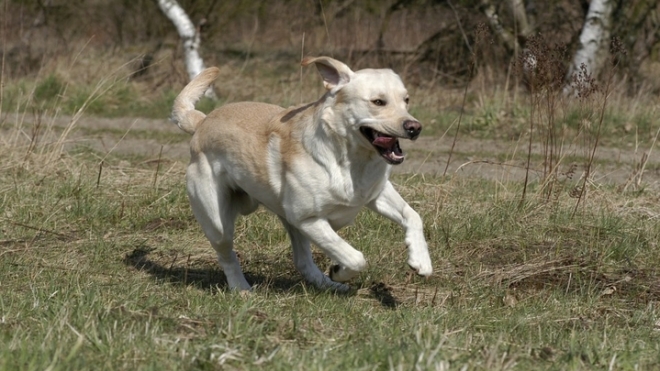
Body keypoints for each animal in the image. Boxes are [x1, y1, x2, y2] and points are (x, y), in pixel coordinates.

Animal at [171, 56, 434, 292]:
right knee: (227, 255)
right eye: (378, 102)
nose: (414, 127)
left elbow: (413, 216)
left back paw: (329, 285)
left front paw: (421, 260)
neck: (349, 160)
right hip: (218, 223)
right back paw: (241, 288)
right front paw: (339, 270)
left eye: (406, 100)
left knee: (302, 261)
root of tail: (203, 121)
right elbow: (354, 257)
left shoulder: (376, 193)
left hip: (290, 225)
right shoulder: (308, 220)